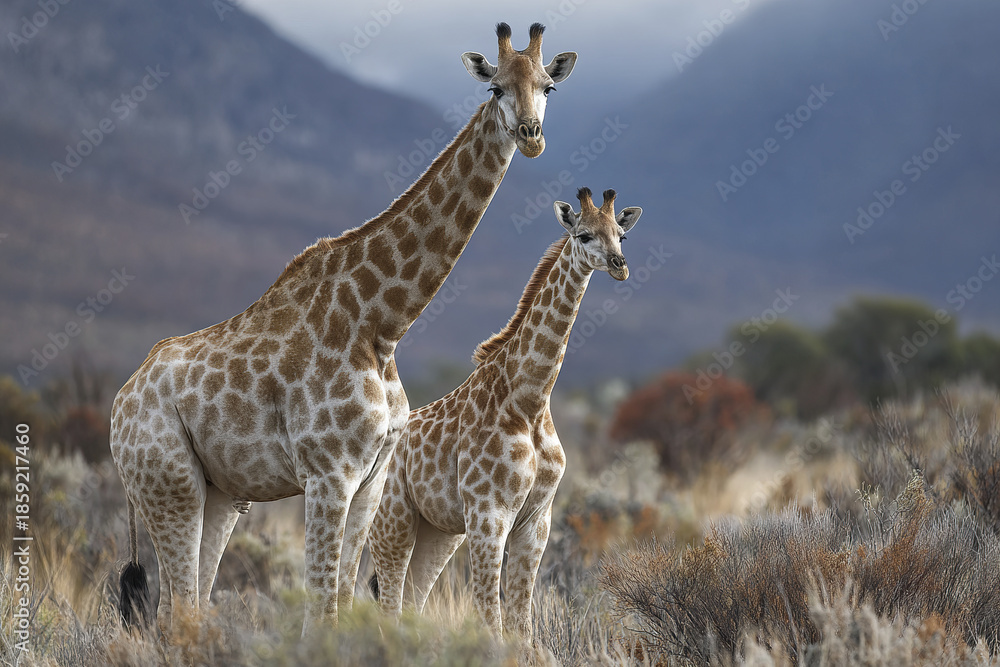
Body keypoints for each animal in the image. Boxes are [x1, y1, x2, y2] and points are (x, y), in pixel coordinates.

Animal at [110, 22, 577, 638]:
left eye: (549, 85)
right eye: (495, 87)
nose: (531, 136)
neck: (381, 324)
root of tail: (117, 406)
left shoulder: (370, 480)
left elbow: (347, 601)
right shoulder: (327, 474)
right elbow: (323, 608)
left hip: (220, 494)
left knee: (182, 606)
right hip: (170, 484)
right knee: (177, 607)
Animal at [368, 187, 642, 639]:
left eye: (622, 235)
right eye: (584, 235)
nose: (620, 266)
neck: (529, 401)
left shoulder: (537, 520)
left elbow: (521, 622)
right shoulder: (489, 514)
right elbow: (492, 619)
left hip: (438, 532)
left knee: (411, 600)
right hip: (392, 520)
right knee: (387, 603)